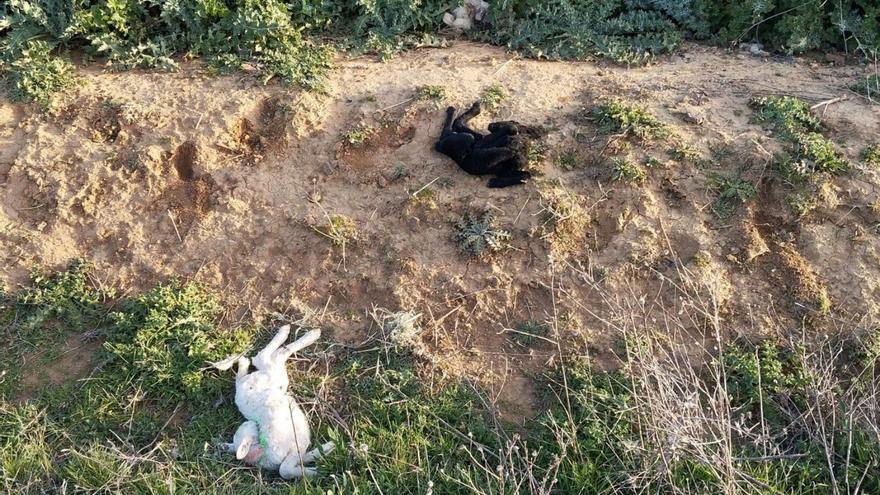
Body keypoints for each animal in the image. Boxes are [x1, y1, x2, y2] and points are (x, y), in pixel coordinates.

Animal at [212, 324, 334, 478]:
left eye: (247, 426)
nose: (254, 422)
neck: (262, 450)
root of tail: (241, 385)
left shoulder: (296, 448)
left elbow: (286, 469)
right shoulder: (296, 451)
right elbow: (286, 469)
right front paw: (319, 465)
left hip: (274, 375)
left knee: (264, 356)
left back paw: (302, 333)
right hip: (275, 376)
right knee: (269, 356)